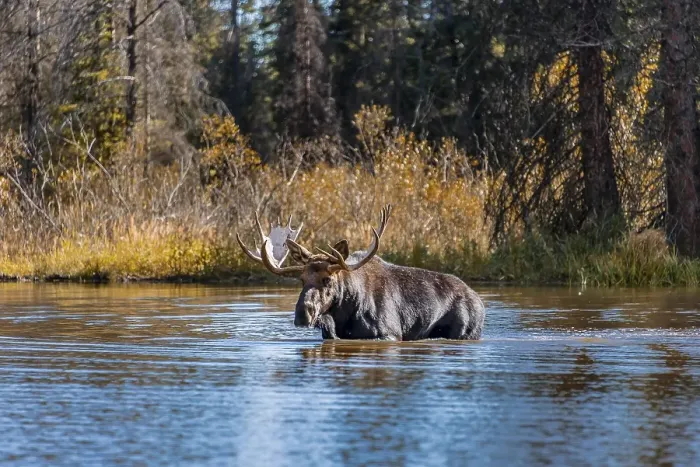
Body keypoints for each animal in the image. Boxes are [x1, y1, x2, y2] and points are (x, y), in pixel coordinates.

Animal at [236, 205, 485, 341]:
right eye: (301, 279)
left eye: (327, 279)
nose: (302, 315)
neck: (343, 315)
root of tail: (479, 301)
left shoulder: (390, 333)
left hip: (466, 331)